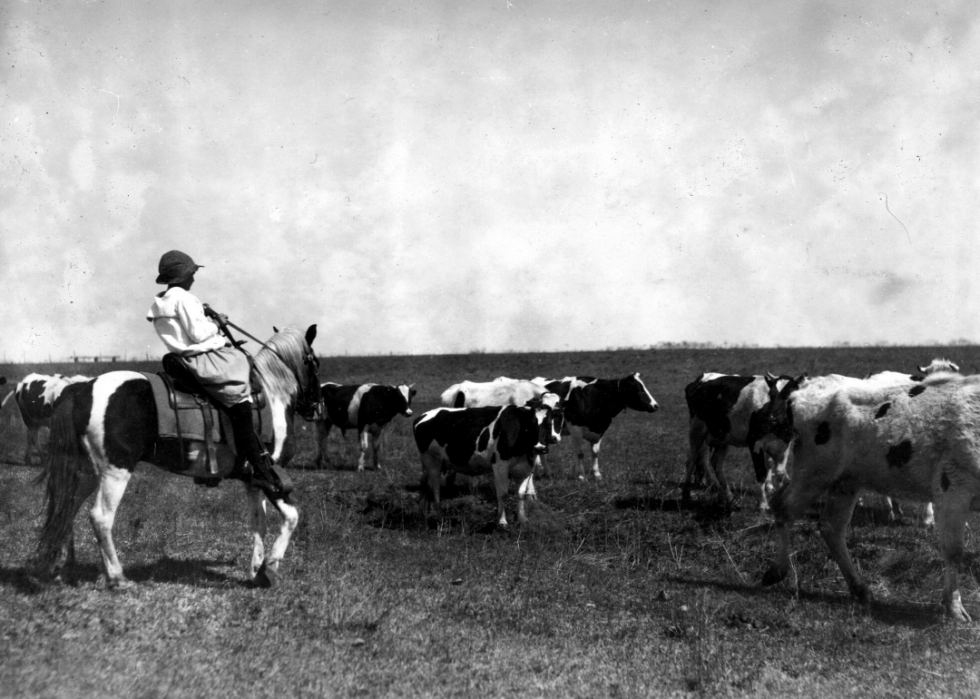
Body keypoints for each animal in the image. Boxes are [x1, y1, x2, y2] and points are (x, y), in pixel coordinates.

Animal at [35, 326, 322, 588]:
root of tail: (81, 390)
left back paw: (60, 569)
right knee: (100, 517)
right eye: (314, 362)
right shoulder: (271, 479)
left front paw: (256, 571)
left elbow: (258, 524)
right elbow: (291, 518)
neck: (272, 395)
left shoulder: (253, 481)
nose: (315, 408)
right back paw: (117, 577)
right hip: (114, 472)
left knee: (66, 508)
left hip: (86, 471)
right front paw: (270, 570)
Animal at [414, 396, 564, 528]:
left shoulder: (526, 468)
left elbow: (521, 494)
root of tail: (423, 416)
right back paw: (440, 518)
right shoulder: (500, 466)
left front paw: (522, 520)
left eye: (549, 424)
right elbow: (503, 493)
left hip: (429, 464)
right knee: (435, 488)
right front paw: (502, 522)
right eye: (529, 426)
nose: (540, 448)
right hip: (432, 462)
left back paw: (422, 512)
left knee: (424, 482)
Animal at [528, 372, 660, 482]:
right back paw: (545, 471)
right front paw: (581, 476)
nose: (655, 405)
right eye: (638, 389)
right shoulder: (575, 429)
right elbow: (580, 453)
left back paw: (543, 471)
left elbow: (595, 452)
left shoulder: (599, 430)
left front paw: (597, 475)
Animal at [756, 372, 980, 624]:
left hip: (845, 482)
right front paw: (954, 607)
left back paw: (859, 589)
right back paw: (777, 570)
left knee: (831, 527)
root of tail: (804, 388)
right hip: (814, 473)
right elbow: (954, 551)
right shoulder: (953, 491)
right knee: (783, 508)